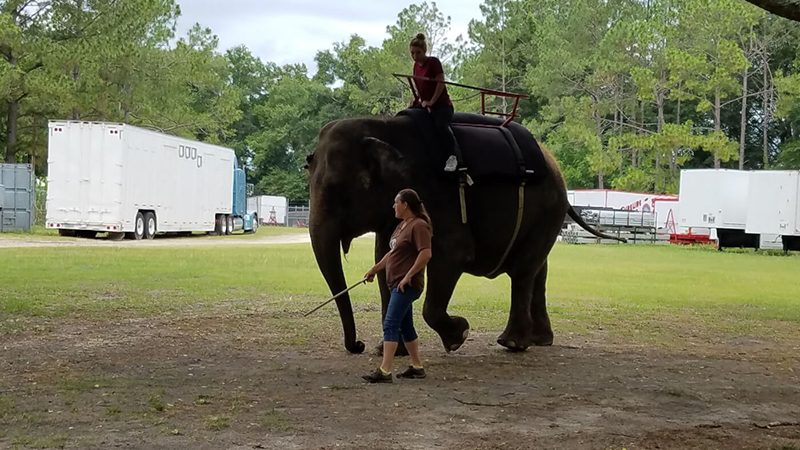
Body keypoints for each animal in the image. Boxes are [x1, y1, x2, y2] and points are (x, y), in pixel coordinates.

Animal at [305, 111, 622, 354]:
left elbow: (452, 255)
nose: (357, 345)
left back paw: (513, 344)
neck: (381, 127)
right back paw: (540, 340)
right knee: (537, 271)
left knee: (523, 272)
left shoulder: (438, 201)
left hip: (548, 210)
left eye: (336, 191)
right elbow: (385, 261)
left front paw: (459, 336)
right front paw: (389, 350)